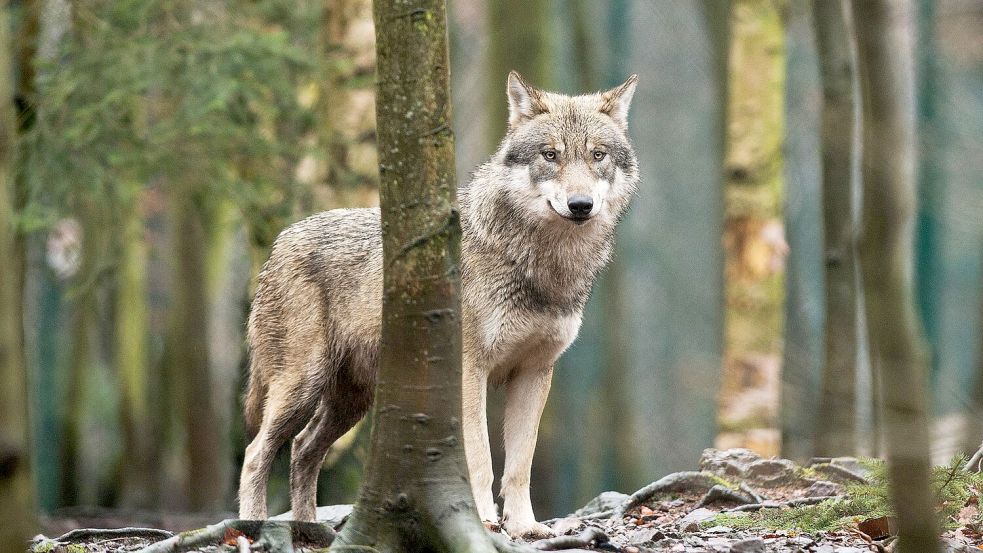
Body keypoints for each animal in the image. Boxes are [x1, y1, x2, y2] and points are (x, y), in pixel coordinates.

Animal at [236, 71, 640, 536]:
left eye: (597, 155)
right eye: (550, 155)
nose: (580, 205)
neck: (541, 264)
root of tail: (279, 241)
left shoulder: (535, 373)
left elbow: (520, 465)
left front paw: (525, 527)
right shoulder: (470, 370)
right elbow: (480, 459)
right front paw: (483, 522)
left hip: (351, 402)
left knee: (303, 449)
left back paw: (309, 530)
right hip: (302, 385)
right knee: (256, 453)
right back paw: (253, 528)